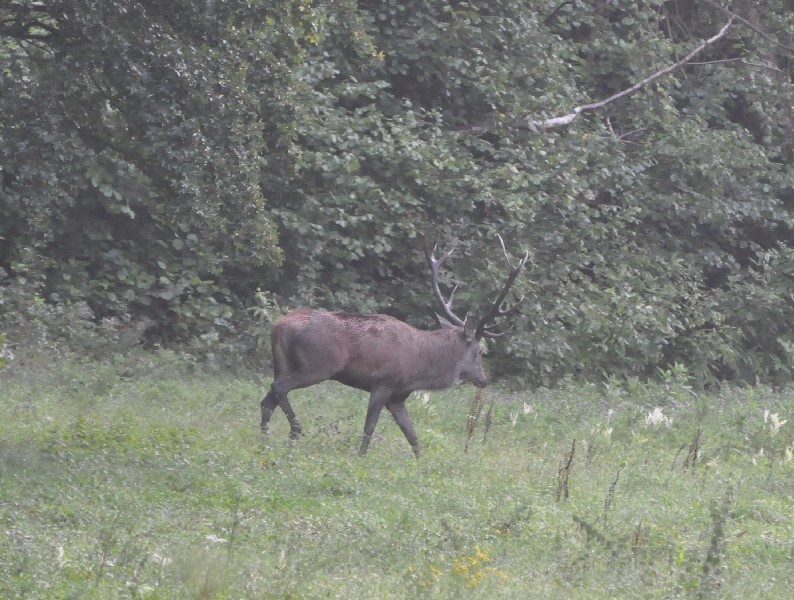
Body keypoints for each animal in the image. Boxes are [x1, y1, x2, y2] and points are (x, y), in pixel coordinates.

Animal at [260, 235, 528, 457]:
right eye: (481, 351)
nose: (483, 380)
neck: (420, 369)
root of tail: (277, 327)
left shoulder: (398, 396)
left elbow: (412, 435)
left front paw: (422, 464)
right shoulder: (383, 383)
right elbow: (369, 427)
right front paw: (360, 458)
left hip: (283, 366)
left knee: (267, 401)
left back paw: (264, 443)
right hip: (316, 366)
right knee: (279, 388)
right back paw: (295, 430)